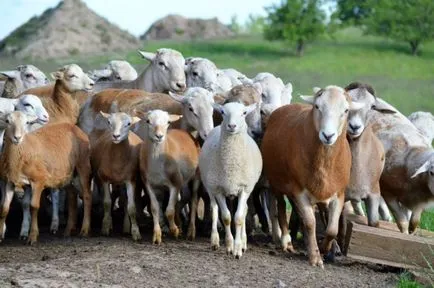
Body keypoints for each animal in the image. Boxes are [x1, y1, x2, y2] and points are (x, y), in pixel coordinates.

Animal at [0, 111, 91, 244]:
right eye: (7, 121)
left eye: (27, 122)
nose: (17, 138)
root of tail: (74, 127)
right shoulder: (10, 182)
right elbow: (4, 208)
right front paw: (0, 236)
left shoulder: (38, 180)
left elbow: (34, 207)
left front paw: (32, 237)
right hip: (67, 174)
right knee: (72, 196)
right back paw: (68, 230)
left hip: (83, 164)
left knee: (87, 196)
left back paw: (84, 230)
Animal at [91, 110, 142, 241]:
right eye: (109, 122)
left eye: (128, 123)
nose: (116, 136)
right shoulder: (104, 179)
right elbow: (107, 203)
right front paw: (105, 227)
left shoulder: (131, 180)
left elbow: (131, 207)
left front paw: (135, 232)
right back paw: (110, 223)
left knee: (124, 200)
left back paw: (126, 227)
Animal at [138, 109, 201, 243]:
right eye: (148, 121)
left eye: (168, 122)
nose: (159, 136)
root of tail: (186, 133)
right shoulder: (149, 184)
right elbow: (154, 208)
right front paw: (157, 236)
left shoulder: (175, 183)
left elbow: (169, 211)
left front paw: (174, 230)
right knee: (181, 200)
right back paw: (180, 226)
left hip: (196, 176)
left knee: (193, 200)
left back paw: (190, 231)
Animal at [199, 102, 262, 258]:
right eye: (222, 112)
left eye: (244, 113)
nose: (232, 126)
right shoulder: (219, 189)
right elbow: (226, 217)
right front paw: (229, 246)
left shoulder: (244, 188)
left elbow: (239, 217)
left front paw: (238, 249)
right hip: (210, 186)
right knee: (214, 209)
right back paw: (215, 240)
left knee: (244, 210)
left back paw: (244, 242)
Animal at [262, 85, 364, 268]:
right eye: (317, 106)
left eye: (346, 110)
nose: (328, 135)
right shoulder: (299, 191)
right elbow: (310, 223)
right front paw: (315, 257)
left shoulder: (338, 194)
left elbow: (332, 229)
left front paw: (325, 248)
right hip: (277, 182)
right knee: (281, 207)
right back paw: (287, 241)